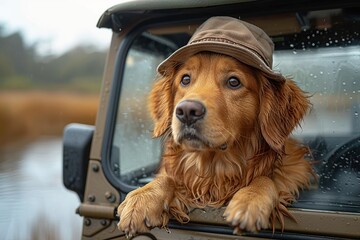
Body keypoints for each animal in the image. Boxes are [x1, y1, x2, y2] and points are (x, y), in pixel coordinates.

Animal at [116, 16, 314, 236]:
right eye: (185, 79)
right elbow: (167, 178)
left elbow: (267, 178)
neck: (214, 170)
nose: (187, 111)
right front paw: (141, 198)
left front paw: (250, 199)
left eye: (234, 82)